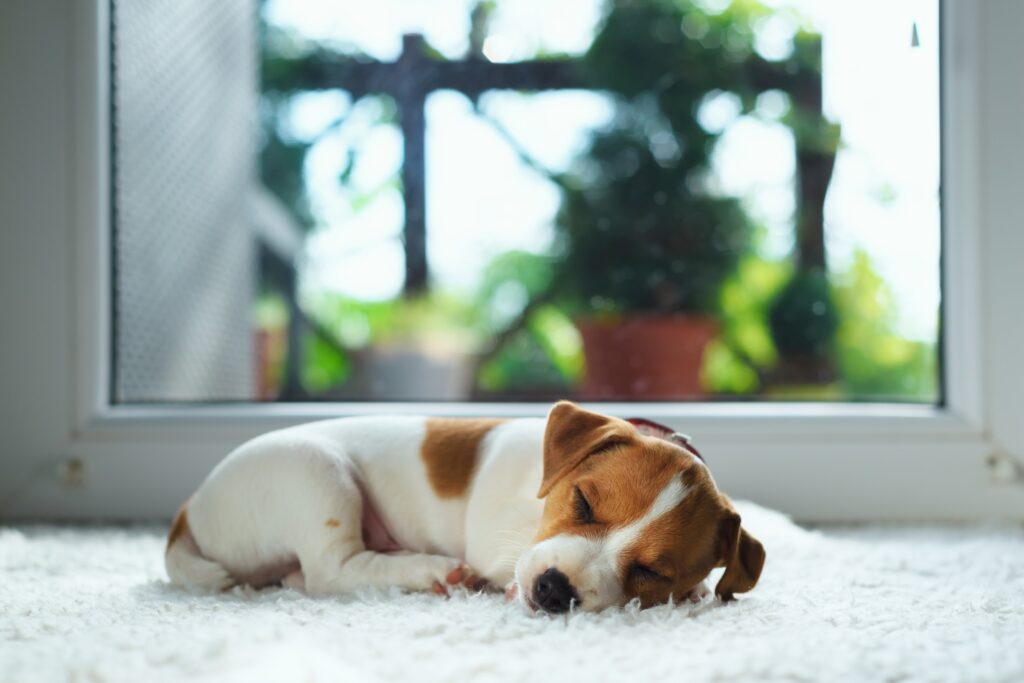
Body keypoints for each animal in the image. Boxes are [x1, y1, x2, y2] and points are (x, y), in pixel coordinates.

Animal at [163, 401, 765, 614]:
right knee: (331, 571)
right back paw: (433, 571)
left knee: (303, 576)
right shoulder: (501, 543)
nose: (553, 590)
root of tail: (189, 509)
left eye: (652, 572)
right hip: (316, 473)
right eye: (583, 501)